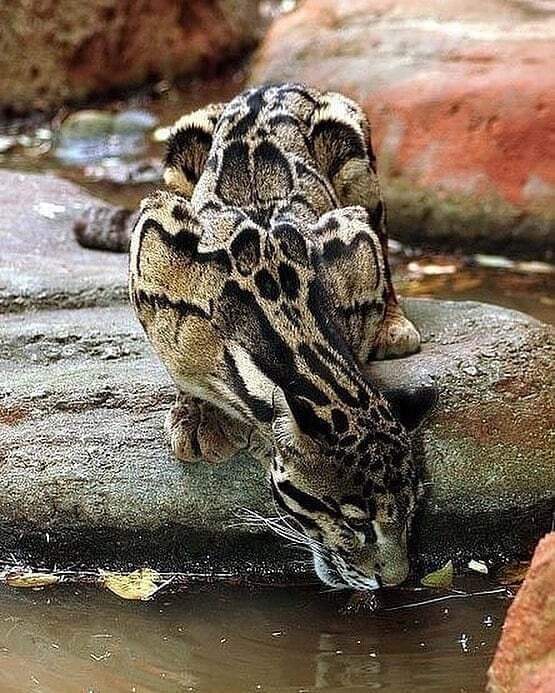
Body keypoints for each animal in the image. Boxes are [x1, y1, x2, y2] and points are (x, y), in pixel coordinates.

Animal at [76, 83, 437, 591]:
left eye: (412, 511)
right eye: (356, 523)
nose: (397, 581)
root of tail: (271, 87)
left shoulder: (353, 234)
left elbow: (377, 251)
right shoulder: (156, 233)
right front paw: (197, 412)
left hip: (350, 141)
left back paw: (393, 323)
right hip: (183, 143)